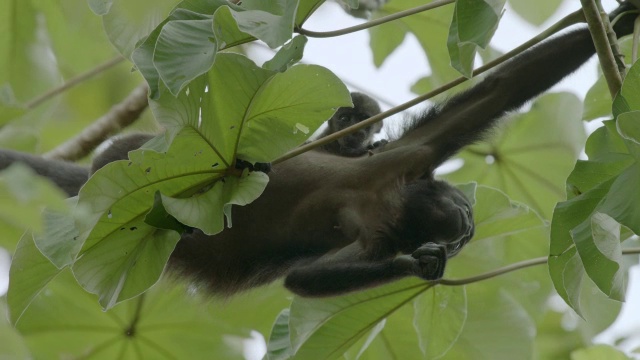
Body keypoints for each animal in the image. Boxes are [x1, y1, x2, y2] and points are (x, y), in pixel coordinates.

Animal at [0, 2, 636, 296]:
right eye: (471, 217)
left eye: (468, 235)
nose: (464, 231)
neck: (390, 199)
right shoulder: (403, 163)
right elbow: (501, 89)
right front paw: (612, 23)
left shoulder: (376, 229)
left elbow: (305, 279)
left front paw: (425, 263)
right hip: (132, 158)